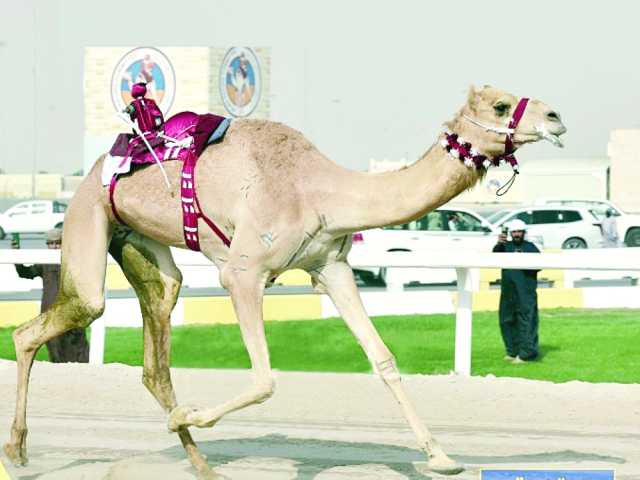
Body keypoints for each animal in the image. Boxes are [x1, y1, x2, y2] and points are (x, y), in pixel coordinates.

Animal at [3, 85, 564, 476]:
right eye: (500, 105)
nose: (556, 117)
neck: (320, 189)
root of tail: (98, 167)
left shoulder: (331, 266)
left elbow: (383, 359)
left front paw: (442, 456)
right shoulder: (243, 272)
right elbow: (265, 378)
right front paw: (191, 415)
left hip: (139, 243)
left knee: (156, 347)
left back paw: (200, 462)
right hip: (89, 217)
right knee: (55, 321)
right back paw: (17, 451)